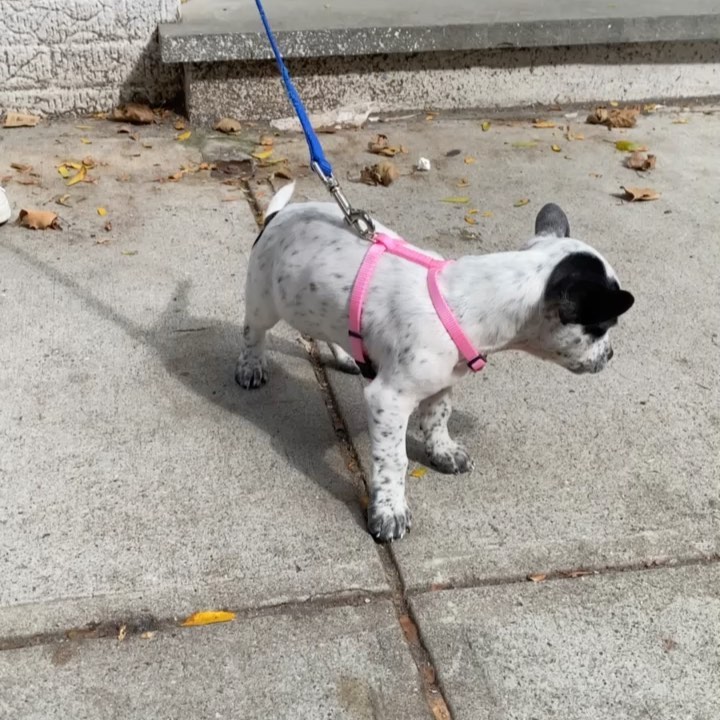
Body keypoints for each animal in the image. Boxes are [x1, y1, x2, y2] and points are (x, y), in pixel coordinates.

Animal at [233, 183, 632, 544]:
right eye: (601, 328)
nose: (610, 356)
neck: (471, 302)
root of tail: (276, 216)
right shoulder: (389, 400)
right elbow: (394, 460)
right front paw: (389, 510)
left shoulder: (442, 381)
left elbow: (438, 417)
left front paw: (442, 451)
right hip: (263, 300)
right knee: (254, 332)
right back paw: (251, 365)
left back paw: (344, 354)